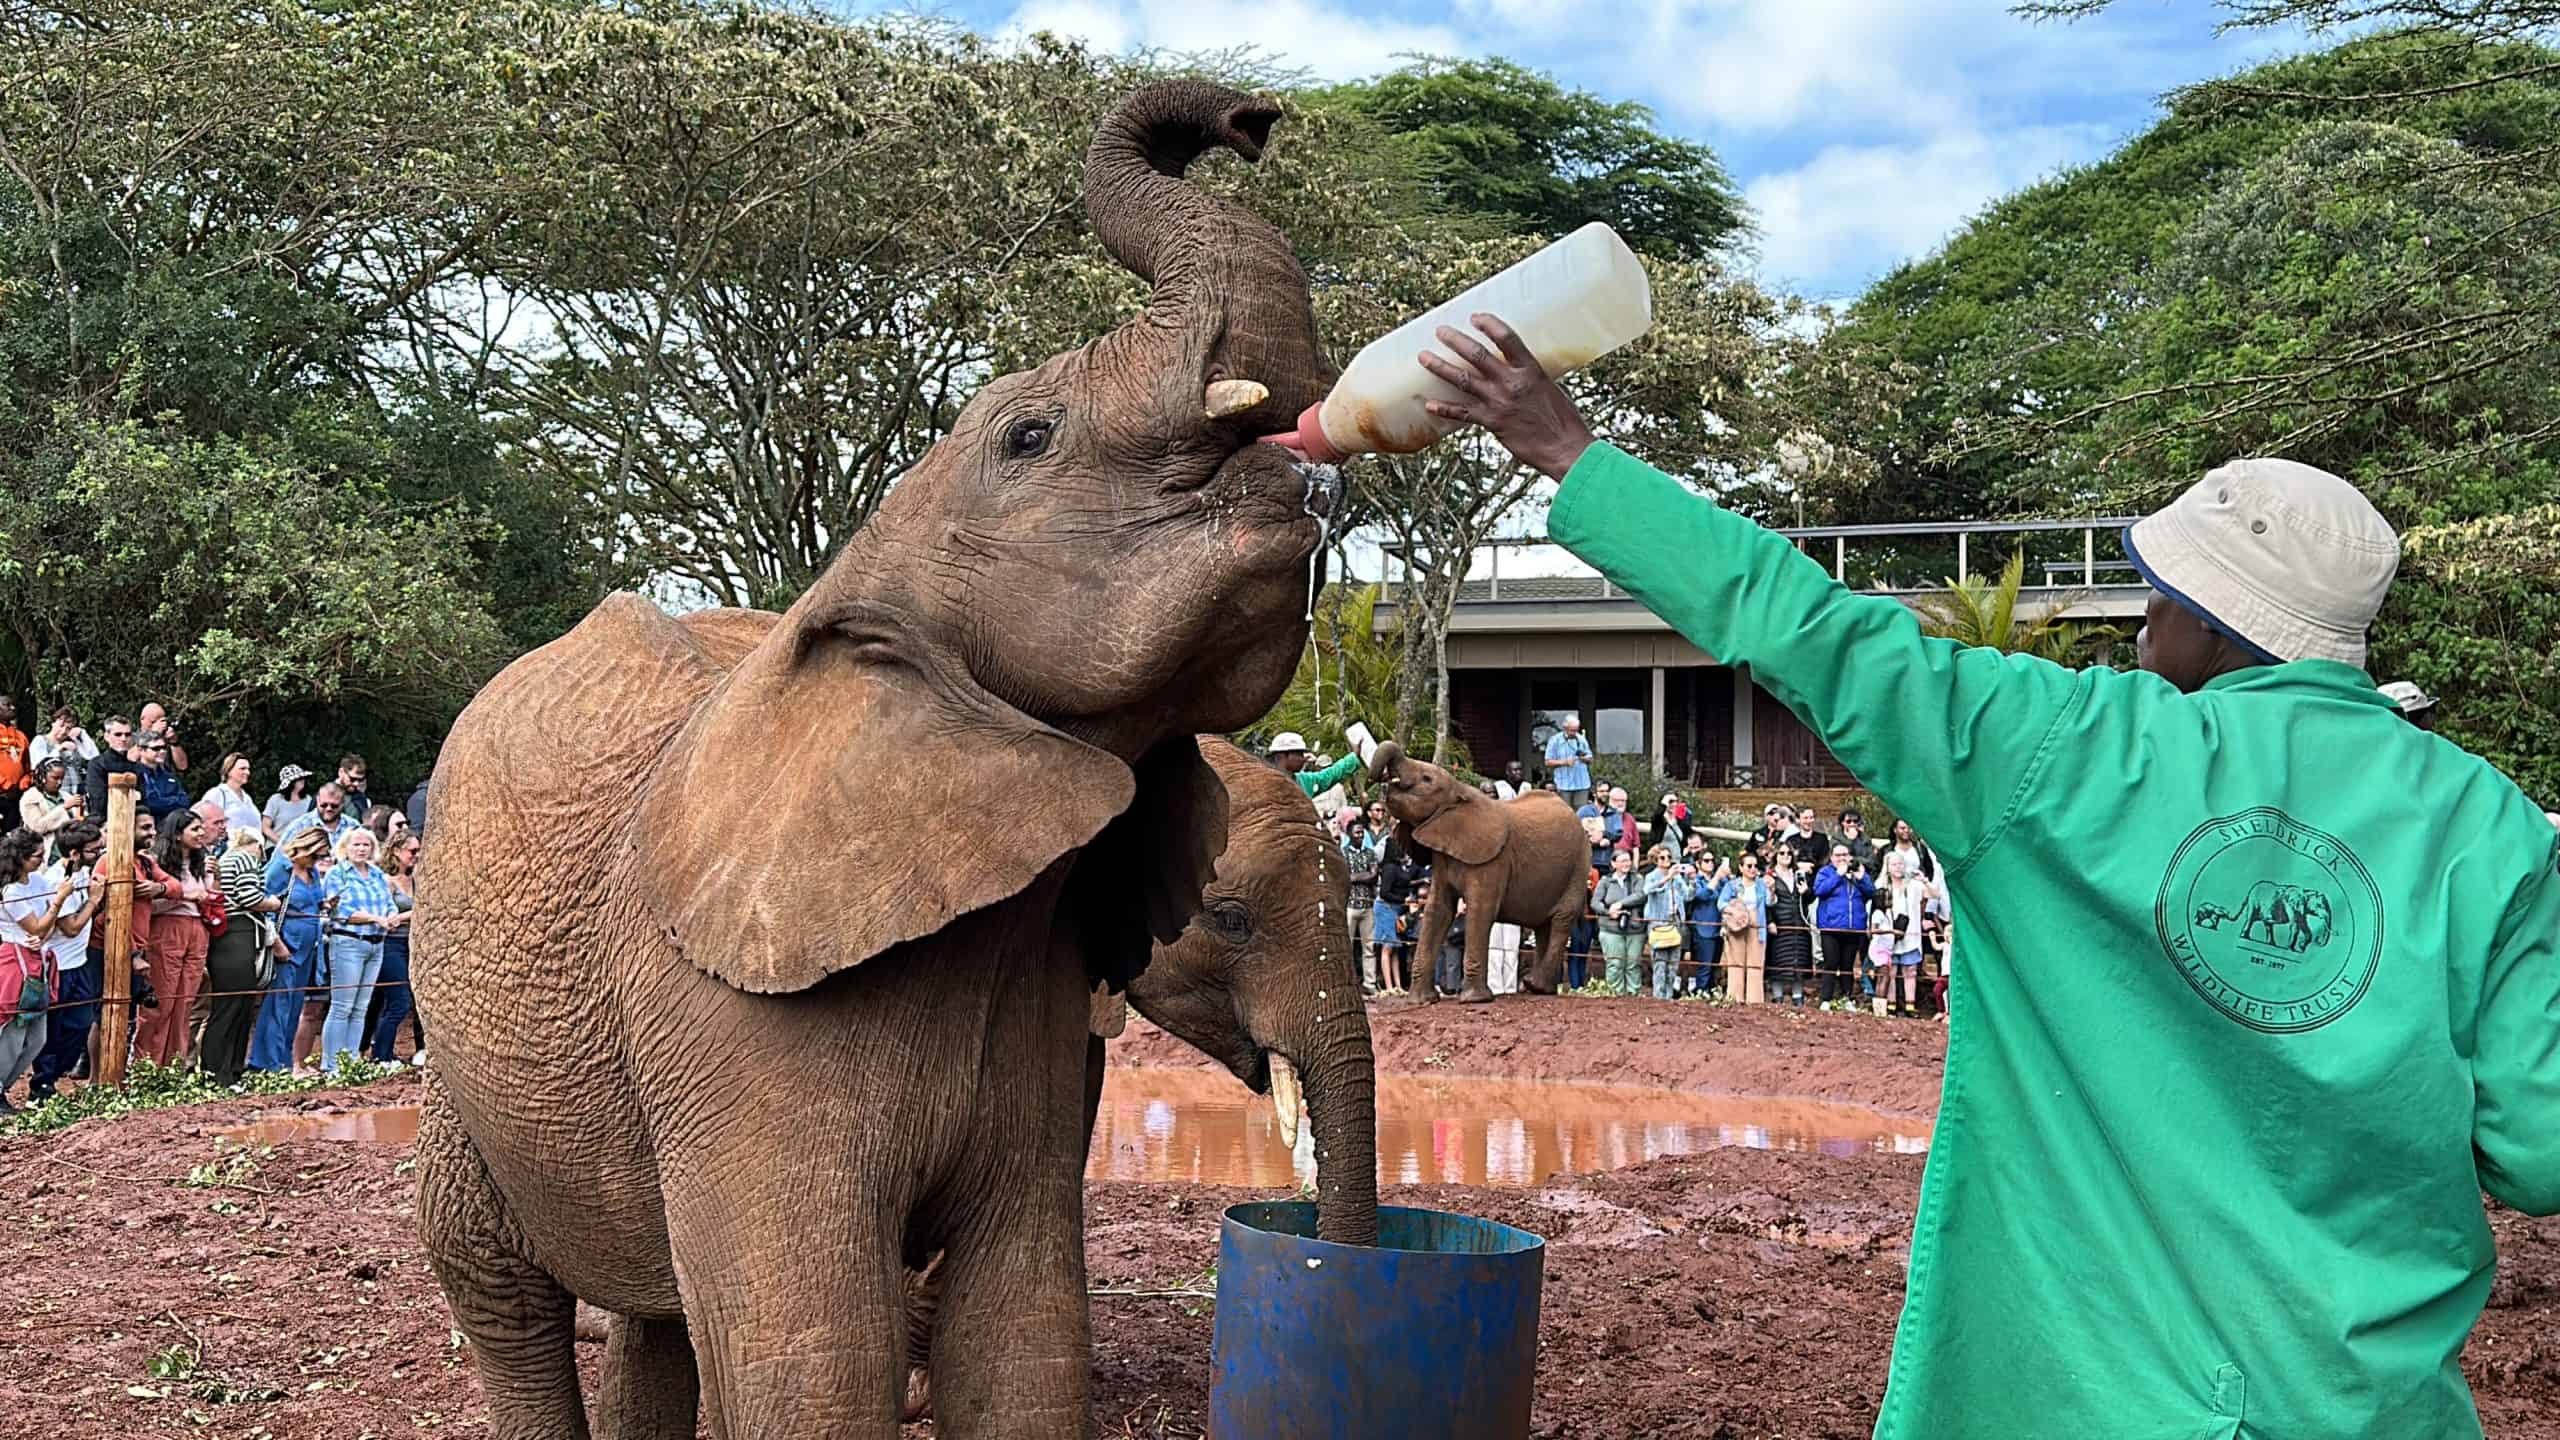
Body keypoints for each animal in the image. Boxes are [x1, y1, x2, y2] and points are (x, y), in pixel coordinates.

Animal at [1368, 740, 1592, 1003]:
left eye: (1427, 779)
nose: (1382, 781)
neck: (1460, 792)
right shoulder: (1443, 858)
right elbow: (1438, 910)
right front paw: (1420, 1001)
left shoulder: (1495, 860)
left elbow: (1480, 910)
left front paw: (1475, 999)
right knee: (1542, 924)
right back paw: (1539, 989)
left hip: (1579, 864)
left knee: (1561, 919)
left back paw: (1534, 985)